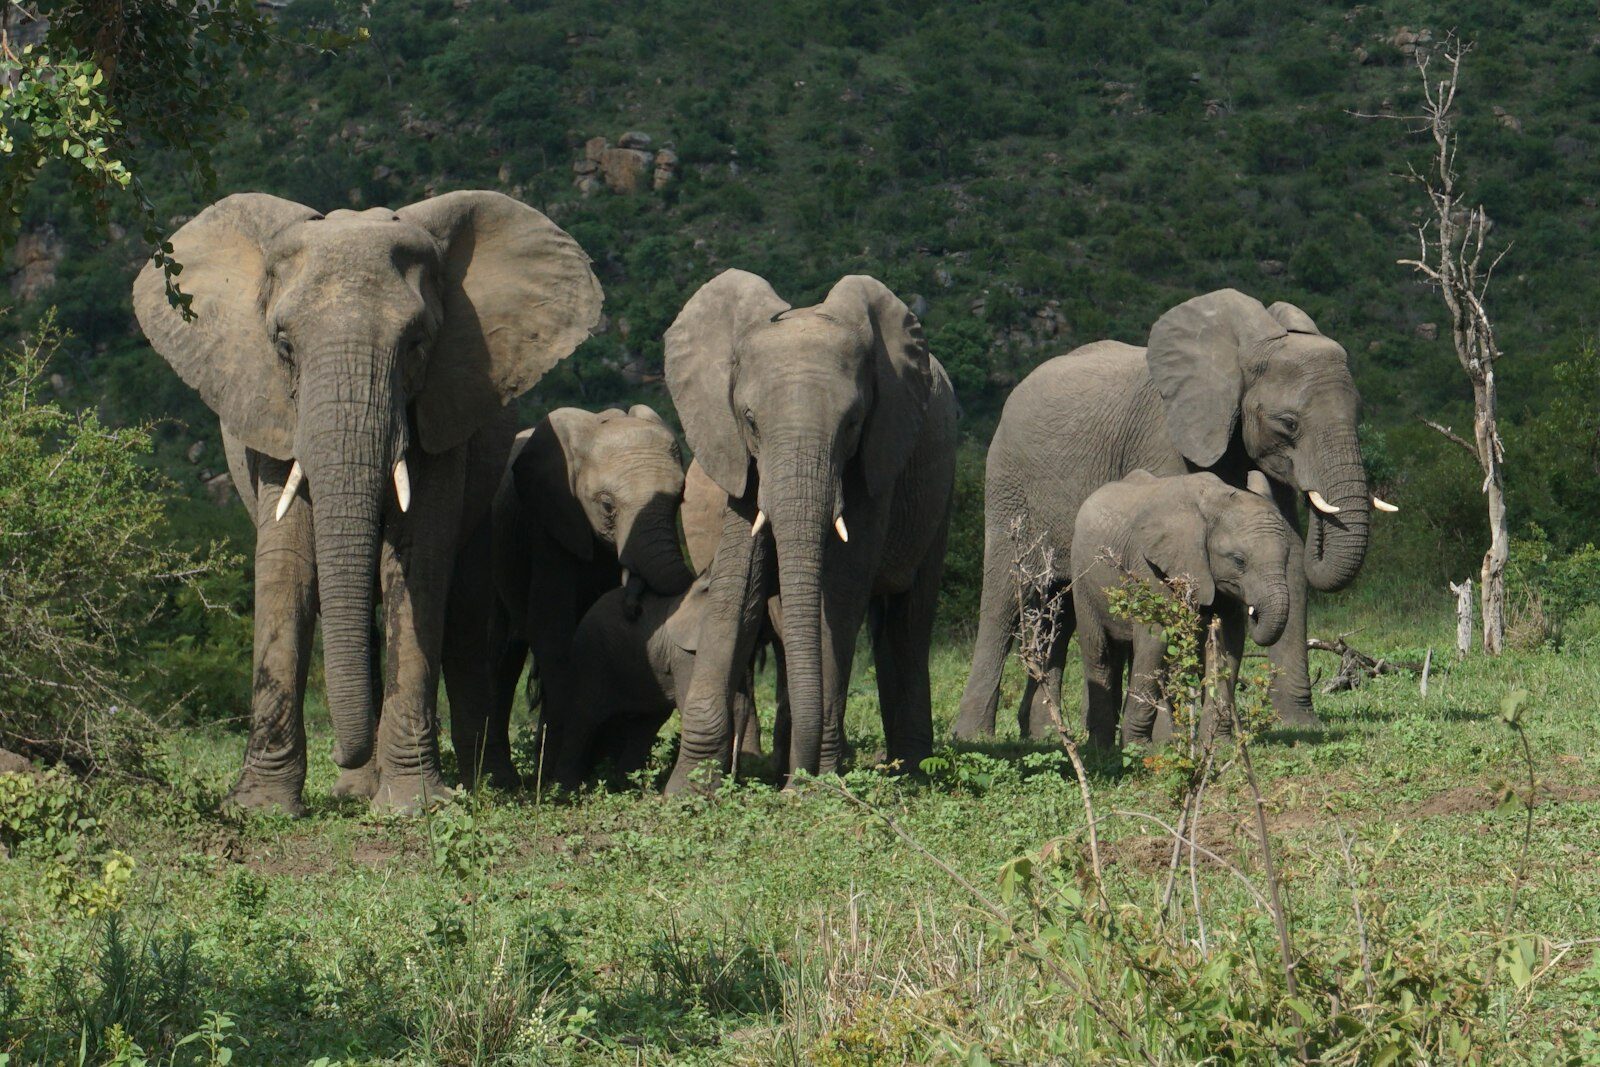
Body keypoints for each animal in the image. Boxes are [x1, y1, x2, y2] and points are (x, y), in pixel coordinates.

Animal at [133, 191, 602, 814]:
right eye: (283, 345)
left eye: (416, 344)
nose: (341, 750)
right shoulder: (270, 413)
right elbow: (286, 568)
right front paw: (259, 807)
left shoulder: (441, 412)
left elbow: (417, 564)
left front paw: (415, 806)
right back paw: (357, 790)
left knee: (463, 618)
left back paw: (484, 784)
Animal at [442, 405, 694, 791]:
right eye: (606, 505)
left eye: (680, 497)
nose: (634, 604)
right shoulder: (550, 525)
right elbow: (552, 627)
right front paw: (560, 778)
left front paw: (601, 766)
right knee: (502, 655)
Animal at [661, 270, 958, 792]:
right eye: (750, 420)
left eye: (853, 422)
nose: (798, 780)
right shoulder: (738, 458)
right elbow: (738, 584)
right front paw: (686, 791)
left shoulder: (877, 455)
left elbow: (839, 591)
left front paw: (813, 783)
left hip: (939, 493)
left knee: (908, 619)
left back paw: (909, 771)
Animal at [1071, 470, 1293, 749]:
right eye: (1239, 561)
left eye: (1287, 557)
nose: (1253, 612)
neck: (1214, 502)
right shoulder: (1150, 566)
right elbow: (1156, 639)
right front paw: (1138, 749)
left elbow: (1227, 644)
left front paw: (1218, 745)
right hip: (1083, 581)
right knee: (1099, 653)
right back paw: (1102, 748)